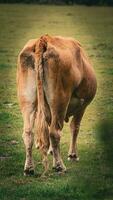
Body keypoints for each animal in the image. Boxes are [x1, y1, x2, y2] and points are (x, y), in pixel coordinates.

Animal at [17, 35, 96, 176]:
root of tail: (44, 39)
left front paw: (51, 152)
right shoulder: (82, 105)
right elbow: (75, 127)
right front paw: (72, 155)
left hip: (27, 100)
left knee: (28, 133)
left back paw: (29, 168)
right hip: (60, 101)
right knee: (54, 132)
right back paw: (59, 166)